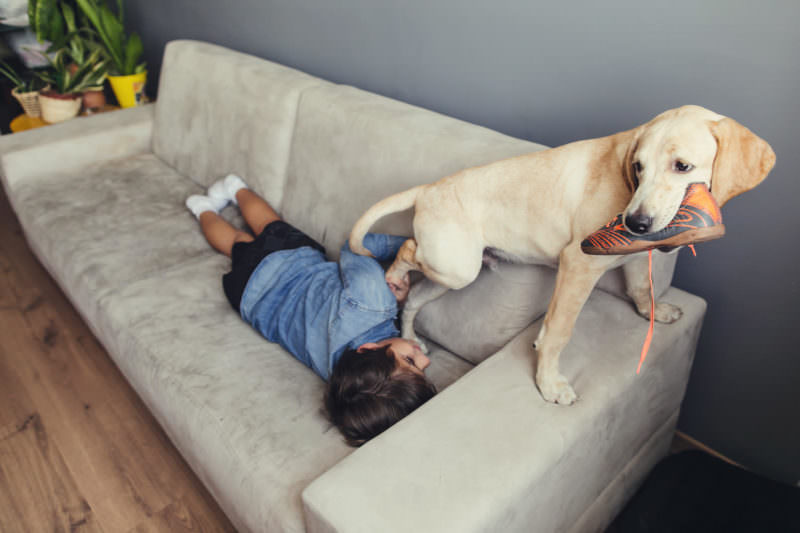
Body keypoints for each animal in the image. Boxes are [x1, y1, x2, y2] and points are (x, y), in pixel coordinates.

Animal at [349, 105, 775, 404]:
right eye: (638, 167)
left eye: (682, 166)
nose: (635, 223)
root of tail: (428, 188)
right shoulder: (579, 264)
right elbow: (558, 331)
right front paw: (549, 383)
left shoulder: (638, 256)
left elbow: (641, 288)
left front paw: (653, 310)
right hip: (456, 267)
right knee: (405, 248)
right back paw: (393, 275)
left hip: (453, 273)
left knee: (413, 298)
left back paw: (408, 334)